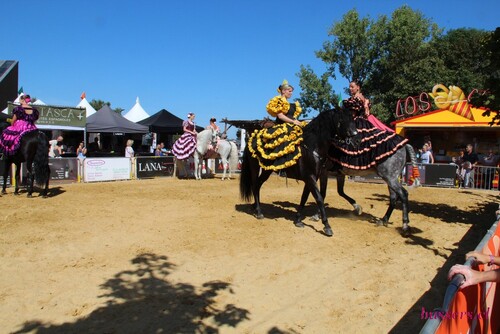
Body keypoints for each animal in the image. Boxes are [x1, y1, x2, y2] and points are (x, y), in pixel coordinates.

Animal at [239, 108, 360, 236]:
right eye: (342, 120)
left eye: (353, 119)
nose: (357, 140)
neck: (312, 146)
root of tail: (252, 138)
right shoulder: (310, 177)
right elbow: (319, 198)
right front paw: (327, 226)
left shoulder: (311, 178)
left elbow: (304, 197)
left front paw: (297, 220)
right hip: (255, 168)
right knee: (255, 185)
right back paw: (258, 212)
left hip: (267, 171)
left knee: (257, 186)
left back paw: (256, 208)